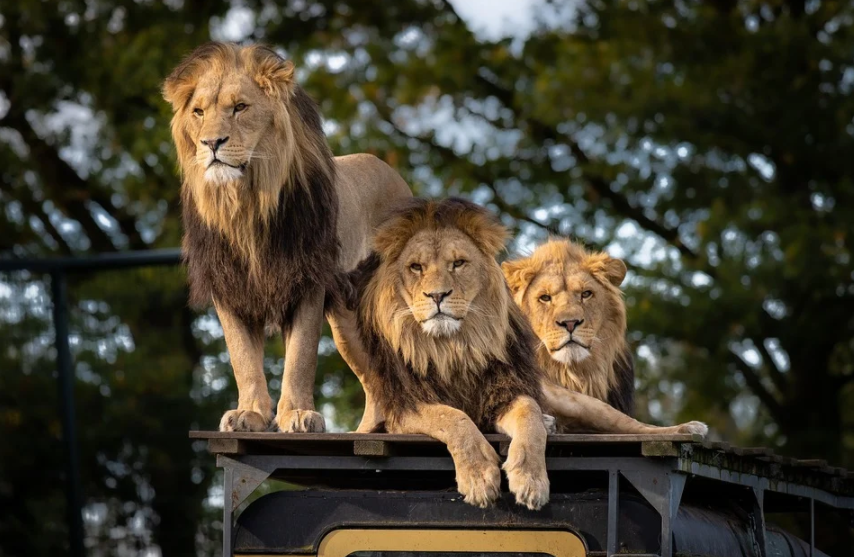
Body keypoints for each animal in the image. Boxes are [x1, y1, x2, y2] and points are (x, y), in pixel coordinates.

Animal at [162, 42, 411, 433]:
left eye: (240, 107)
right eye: (199, 112)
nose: (211, 143)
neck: (246, 205)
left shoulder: (307, 280)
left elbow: (300, 356)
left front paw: (296, 414)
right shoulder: (228, 286)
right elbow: (242, 358)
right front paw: (249, 413)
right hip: (347, 322)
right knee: (375, 381)